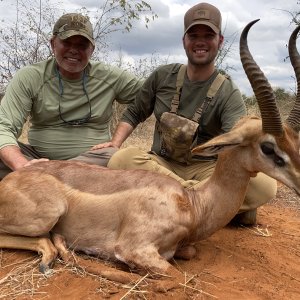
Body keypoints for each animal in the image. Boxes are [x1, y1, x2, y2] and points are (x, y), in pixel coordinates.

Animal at [0, 19, 300, 284]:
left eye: (294, 141)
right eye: (268, 146)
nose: (299, 184)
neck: (192, 205)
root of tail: (10, 180)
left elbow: (189, 253)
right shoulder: (134, 249)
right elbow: (178, 278)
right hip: (47, 214)